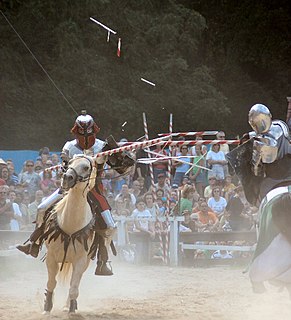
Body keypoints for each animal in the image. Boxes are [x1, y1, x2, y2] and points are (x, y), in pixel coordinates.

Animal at [42, 156, 97, 314]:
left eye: (86, 167)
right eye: (70, 163)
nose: (66, 177)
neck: (70, 224)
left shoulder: (80, 261)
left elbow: (74, 287)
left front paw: (72, 309)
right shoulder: (51, 257)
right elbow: (51, 283)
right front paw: (47, 308)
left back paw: (68, 305)